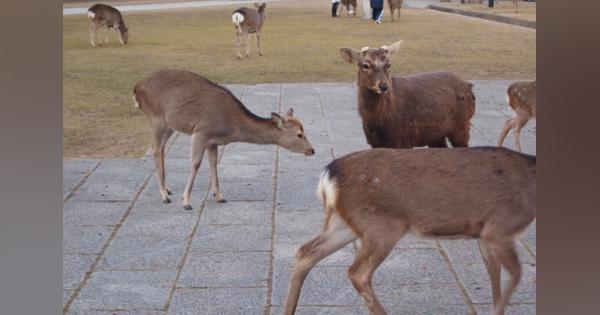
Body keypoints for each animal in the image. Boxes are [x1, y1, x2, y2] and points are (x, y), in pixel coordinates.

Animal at [134, 70, 316, 211]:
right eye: (299, 134)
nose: (312, 150)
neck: (231, 127)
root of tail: (137, 88)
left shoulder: (212, 141)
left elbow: (214, 162)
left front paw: (219, 196)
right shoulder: (201, 132)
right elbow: (196, 163)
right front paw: (186, 202)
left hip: (170, 126)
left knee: (161, 149)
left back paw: (167, 188)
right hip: (156, 120)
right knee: (155, 150)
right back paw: (164, 195)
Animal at [284, 147, 536, 315]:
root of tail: (327, 176)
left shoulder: (483, 233)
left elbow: (493, 271)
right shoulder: (500, 227)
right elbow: (516, 273)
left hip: (344, 223)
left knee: (306, 252)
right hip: (382, 226)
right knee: (358, 272)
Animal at [340, 41, 476, 149]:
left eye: (389, 64)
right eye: (365, 65)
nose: (384, 86)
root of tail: (469, 86)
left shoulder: (404, 139)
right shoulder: (375, 143)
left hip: (462, 125)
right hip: (436, 134)